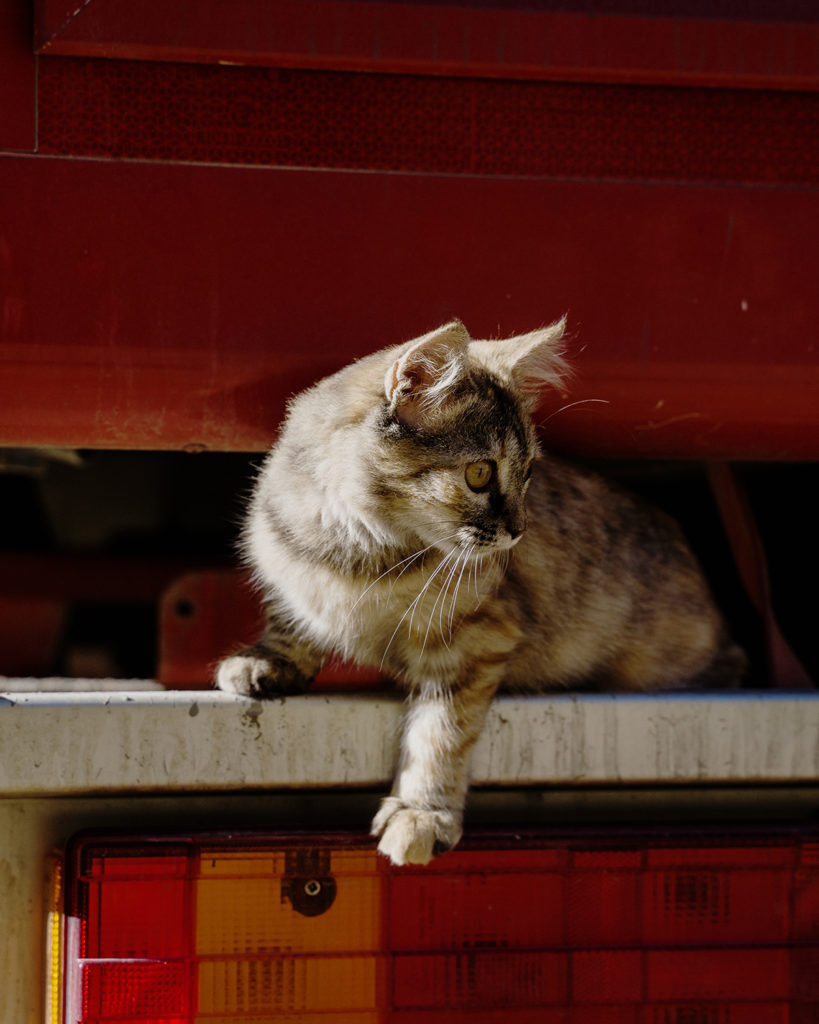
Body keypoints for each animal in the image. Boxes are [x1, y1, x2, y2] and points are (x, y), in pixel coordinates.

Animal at [213, 319, 745, 864]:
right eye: (480, 473)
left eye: (529, 473)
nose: (519, 530)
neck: (357, 553)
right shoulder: (288, 572)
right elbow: (291, 620)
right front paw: (265, 662)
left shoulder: (473, 645)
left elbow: (437, 736)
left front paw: (422, 813)